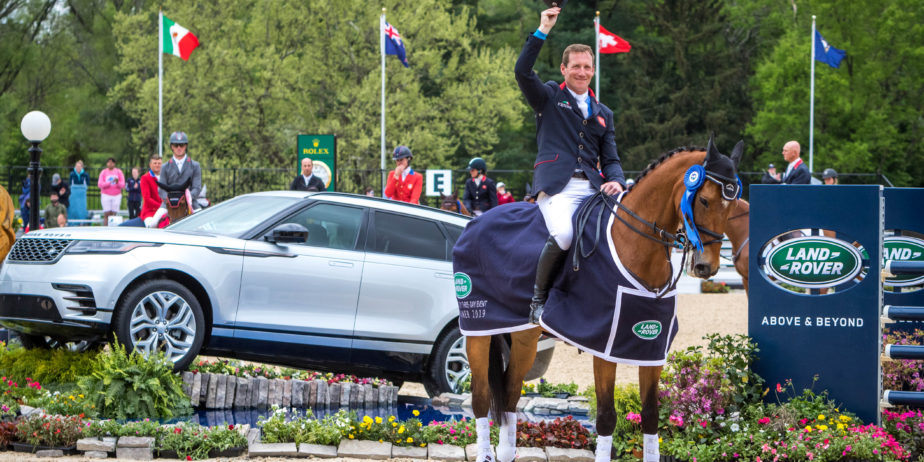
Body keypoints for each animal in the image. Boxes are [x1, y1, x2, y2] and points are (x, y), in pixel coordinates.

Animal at [454, 139, 744, 462]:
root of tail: (475, 222)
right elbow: (606, 417)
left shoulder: (651, 349)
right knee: (480, 397)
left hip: (525, 336)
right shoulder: (603, 347)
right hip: (478, 329)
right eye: (704, 200)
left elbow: (651, 415)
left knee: (510, 393)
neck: (634, 244)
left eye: (733, 205)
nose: (706, 267)